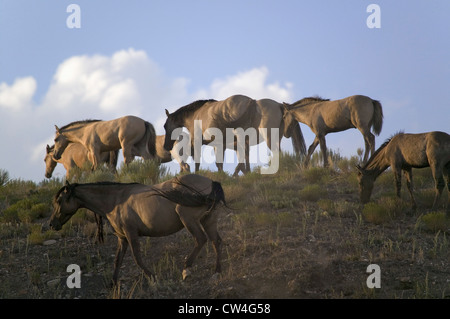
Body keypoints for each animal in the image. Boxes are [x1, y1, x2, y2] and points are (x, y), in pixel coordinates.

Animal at [47, 174, 227, 286]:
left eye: (60, 200)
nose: (52, 224)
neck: (115, 200)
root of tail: (211, 182)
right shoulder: (122, 238)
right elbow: (117, 260)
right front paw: (113, 283)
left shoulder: (131, 234)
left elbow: (137, 258)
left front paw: (153, 277)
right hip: (208, 221)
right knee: (216, 242)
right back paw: (217, 272)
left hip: (189, 220)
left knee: (201, 240)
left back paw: (186, 270)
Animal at [162, 94, 306, 176]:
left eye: (165, 126)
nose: (166, 146)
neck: (196, 115)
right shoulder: (220, 144)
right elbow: (220, 163)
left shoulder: (198, 141)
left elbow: (199, 161)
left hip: (267, 137)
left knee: (276, 154)